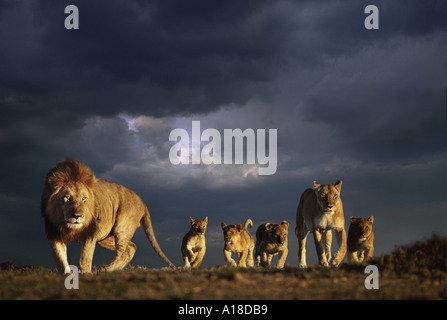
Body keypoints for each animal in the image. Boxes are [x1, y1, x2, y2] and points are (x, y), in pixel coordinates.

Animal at [41, 158, 176, 272]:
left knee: (122, 252)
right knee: (131, 247)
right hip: (105, 237)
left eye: (84, 198)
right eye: (67, 198)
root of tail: (142, 202)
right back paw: (113, 269)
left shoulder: (90, 233)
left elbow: (85, 258)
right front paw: (67, 275)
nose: (77, 216)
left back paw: (105, 268)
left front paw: (84, 273)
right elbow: (60, 260)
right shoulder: (53, 233)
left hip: (122, 227)